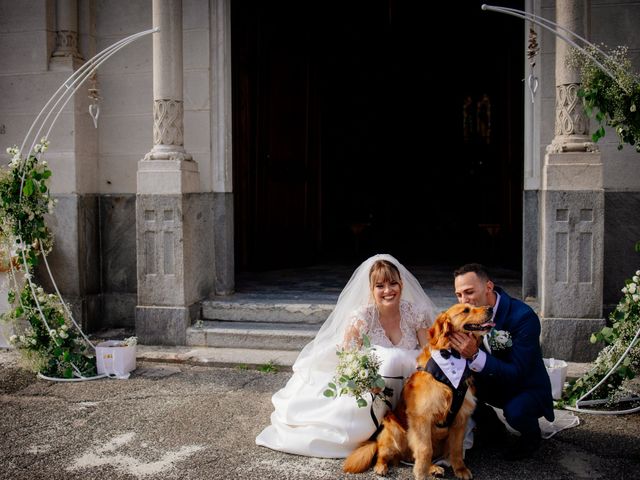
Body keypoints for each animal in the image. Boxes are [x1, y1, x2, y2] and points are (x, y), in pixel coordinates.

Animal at [342, 304, 492, 480]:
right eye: (466, 310)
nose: (490, 308)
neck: (451, 360)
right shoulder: (422, 417)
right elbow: (425, 450)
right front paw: (421, 473)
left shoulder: (460, 418)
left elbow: (456, 449)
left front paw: (460, 469)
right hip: (392, 429)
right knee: (383, 453)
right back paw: (381, 467)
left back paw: (433, 468)